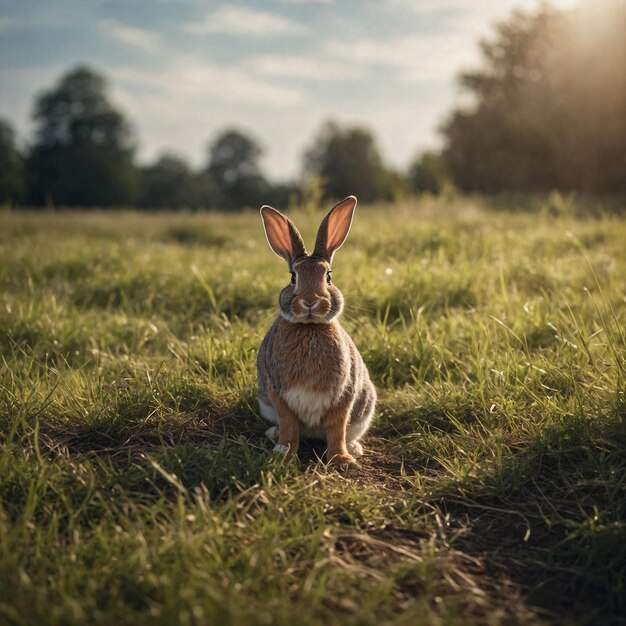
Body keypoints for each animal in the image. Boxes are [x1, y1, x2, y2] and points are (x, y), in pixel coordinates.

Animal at [255, 195, 372, 464]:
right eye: (292, 277)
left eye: (328, 276)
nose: (310, 301)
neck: (309, 328)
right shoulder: (279, 394)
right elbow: (289, 424)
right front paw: (285, 452)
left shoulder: (344, 395)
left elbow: (337, 428)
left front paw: (341, 459)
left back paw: (354, 448)